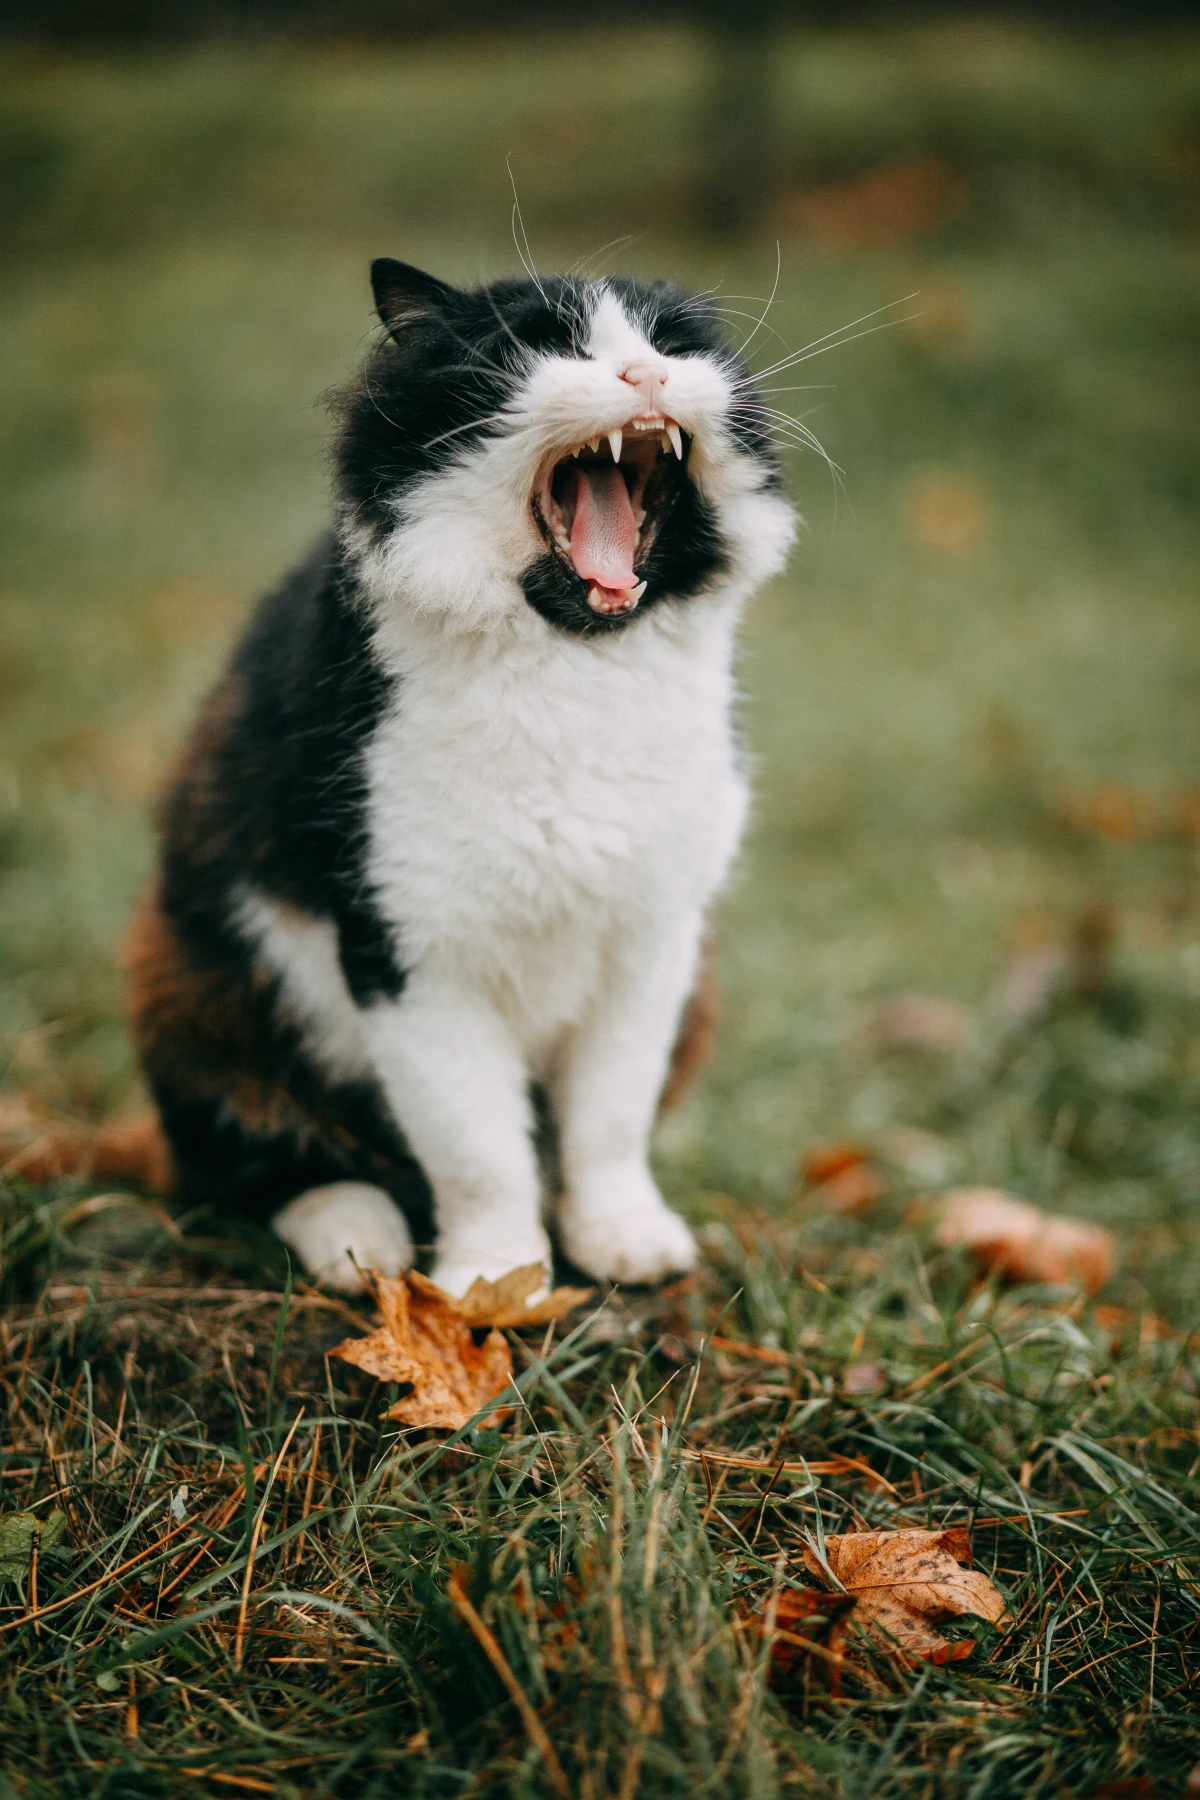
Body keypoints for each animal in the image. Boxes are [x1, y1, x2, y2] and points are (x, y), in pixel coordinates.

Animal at [122, 257, 798, 1296]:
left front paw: (621, 1239)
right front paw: (494, 1286)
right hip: (184, 977)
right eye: (548, 345)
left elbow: (609, 1119)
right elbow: (478, 1148)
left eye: (676, 346)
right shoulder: (409, 952)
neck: (575, 670)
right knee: (263, 1158)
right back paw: (358, 1241)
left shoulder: (655, 942)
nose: (646, 376)